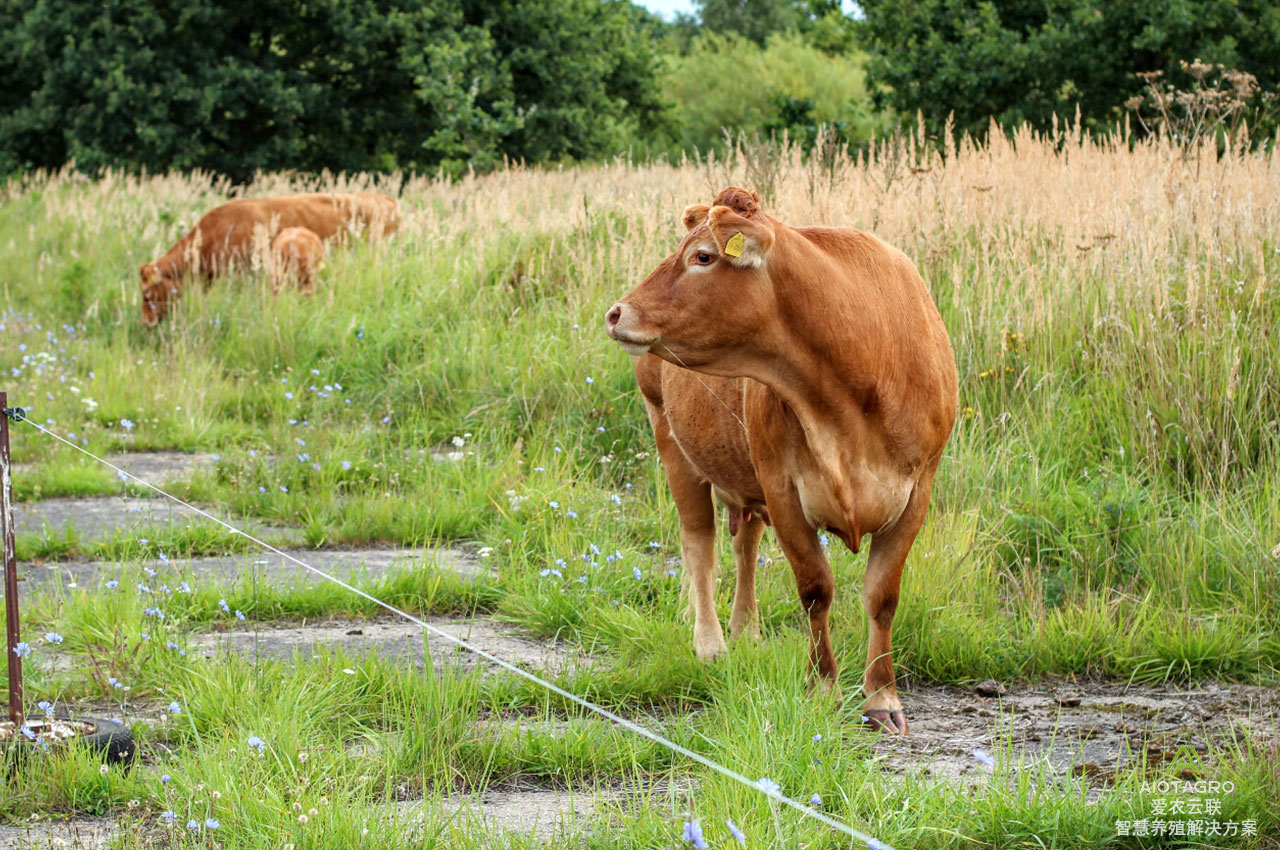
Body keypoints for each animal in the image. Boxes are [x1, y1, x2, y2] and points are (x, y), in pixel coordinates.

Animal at [604, 188, 957, 732]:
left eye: (702, 256)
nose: (617, 313)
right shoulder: (783, 488)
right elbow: (816, 588)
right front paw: (821, 688)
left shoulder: (917, 491)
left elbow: (882, 596)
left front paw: (882, 698)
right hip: (671, 440)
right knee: (699, 544)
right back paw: (711, 642)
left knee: (744, 544)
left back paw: (745, 629)